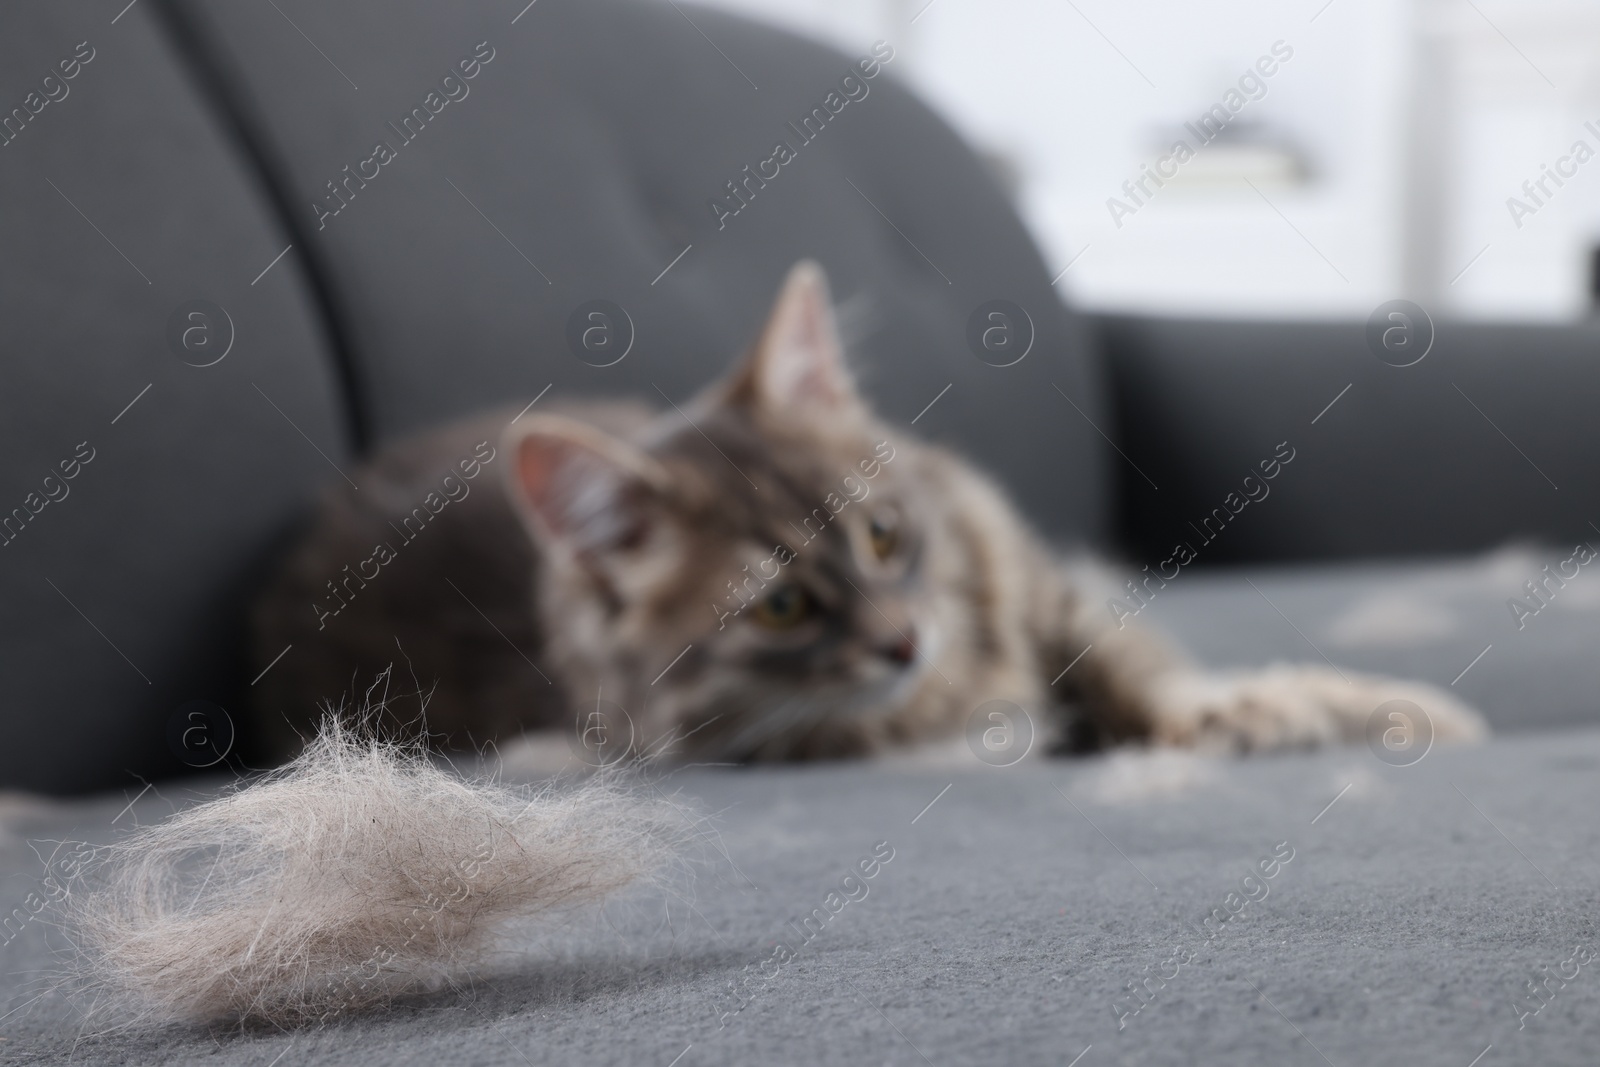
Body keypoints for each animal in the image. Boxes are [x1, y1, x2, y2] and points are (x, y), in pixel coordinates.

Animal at [249, 259, 1484, 764]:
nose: (902, 640)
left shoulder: (1046, 589)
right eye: (782, 606)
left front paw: (1333, 706)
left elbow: (1143, 670)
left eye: (884, 534)